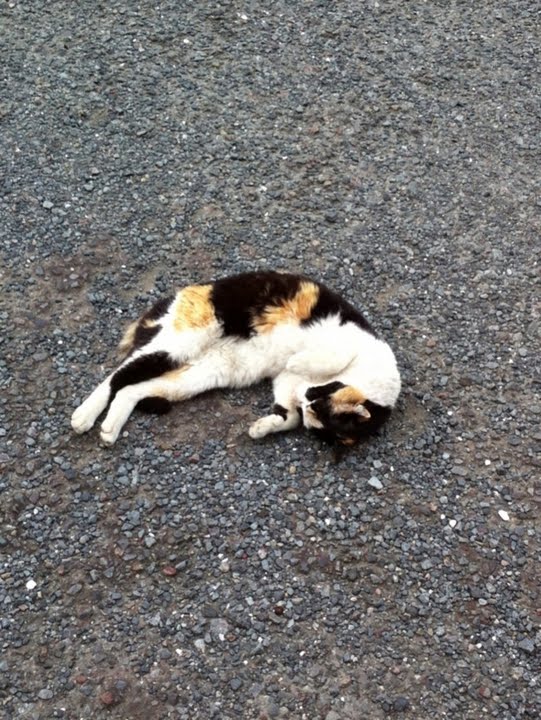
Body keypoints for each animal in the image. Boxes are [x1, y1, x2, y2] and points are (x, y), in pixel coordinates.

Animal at [71, 270, 401, 452]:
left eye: (314, 410)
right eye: (317, 399)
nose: (305, 397)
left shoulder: (286, 384)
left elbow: (288, 416)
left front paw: (263, 427)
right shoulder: (342, 343)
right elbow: (327, 357)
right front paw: (296, 360)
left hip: (198, 375)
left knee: (132, 389)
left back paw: (110, 428)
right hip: (177, 342)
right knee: (117, 375)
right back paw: (85, 415)